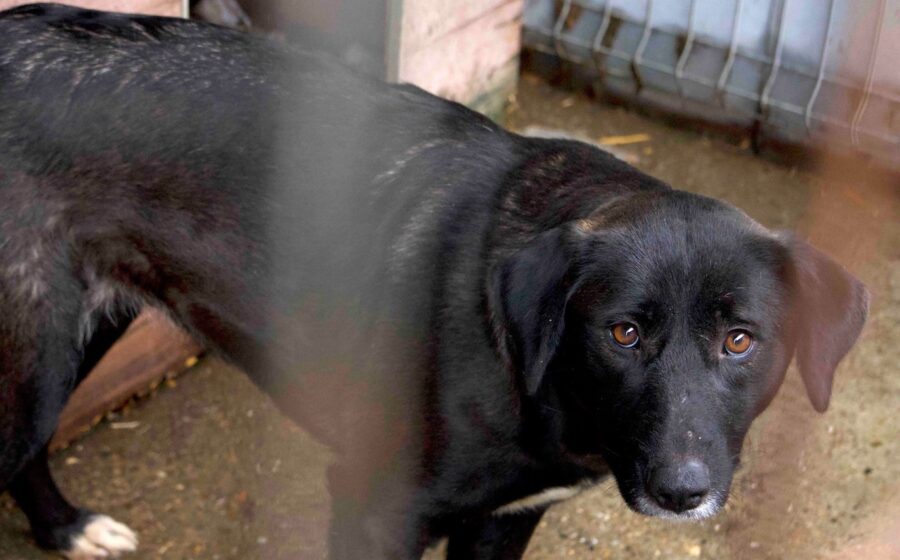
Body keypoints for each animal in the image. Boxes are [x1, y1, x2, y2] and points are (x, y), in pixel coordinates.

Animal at [0, 4, 868, 559]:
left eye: (740, 340)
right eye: (623, 332)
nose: (684, 489)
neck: (539, 390)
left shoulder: (503, 523)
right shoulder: (375, 510)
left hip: (68, 337)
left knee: (26, 450)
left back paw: (64, 529)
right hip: (40, 349)